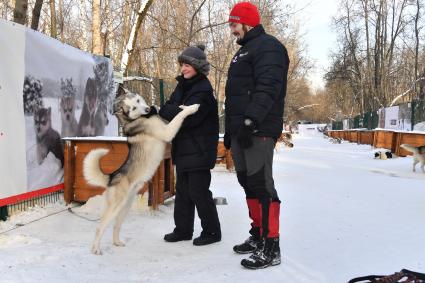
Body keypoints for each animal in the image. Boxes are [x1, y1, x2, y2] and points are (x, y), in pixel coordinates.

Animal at [84, 86, 200, 255]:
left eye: (138, 101)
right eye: (133, 108)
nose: (147, 109)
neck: (136, 119)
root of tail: (112, 177)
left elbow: (176, 112)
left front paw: (181, 106)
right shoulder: (167, 131)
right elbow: (179, 116)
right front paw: (192, 108)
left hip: (124, 207)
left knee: (116, 225)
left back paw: (117, 242)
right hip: (115, 207)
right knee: (100, 227)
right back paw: (96, 249)